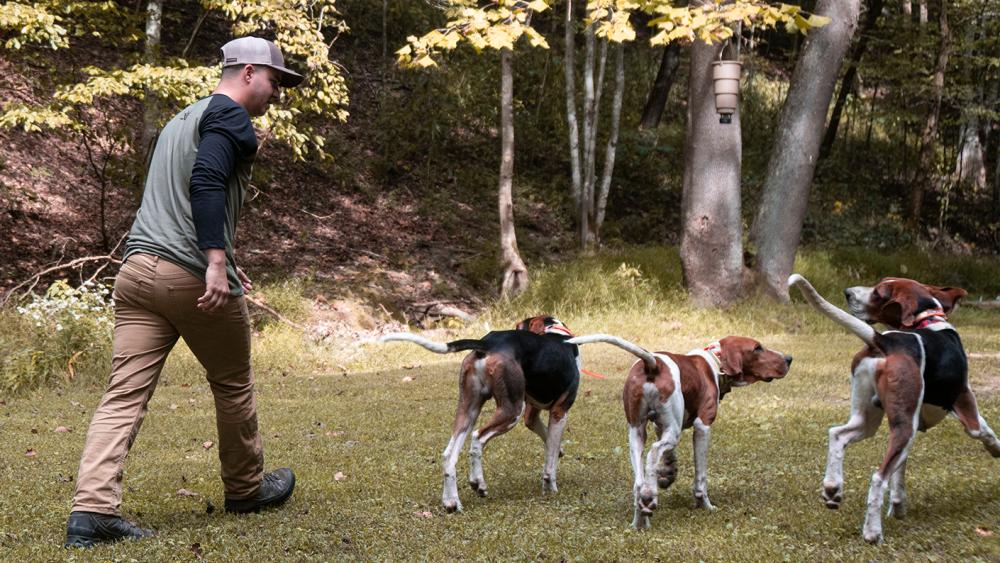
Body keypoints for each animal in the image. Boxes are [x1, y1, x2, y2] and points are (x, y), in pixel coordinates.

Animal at [564, 332, 788, 532]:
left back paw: (641, 517)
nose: (789, 359)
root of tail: (653, 363)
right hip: (668, 432)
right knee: (653, 452)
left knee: (639, 481)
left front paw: (667, 472)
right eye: (757, 348)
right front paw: (705, 505)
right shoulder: (703, 426)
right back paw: (650, 497)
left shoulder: (661, 426)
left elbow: (667, 457)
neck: (714, 363)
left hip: (637, 432)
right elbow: (701, 478)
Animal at [788, 276, 1000, 544]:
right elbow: (986, 432)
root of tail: (885, 341)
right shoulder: (966, 410)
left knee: (837, 434)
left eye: (878, 293)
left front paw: (898, 506)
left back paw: (833, 488)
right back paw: (872, 532)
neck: (929, 320)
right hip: (903, 429)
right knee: (878, 478)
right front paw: (996, 450)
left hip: (869, 421)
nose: (847, 293)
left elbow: (899, 474)